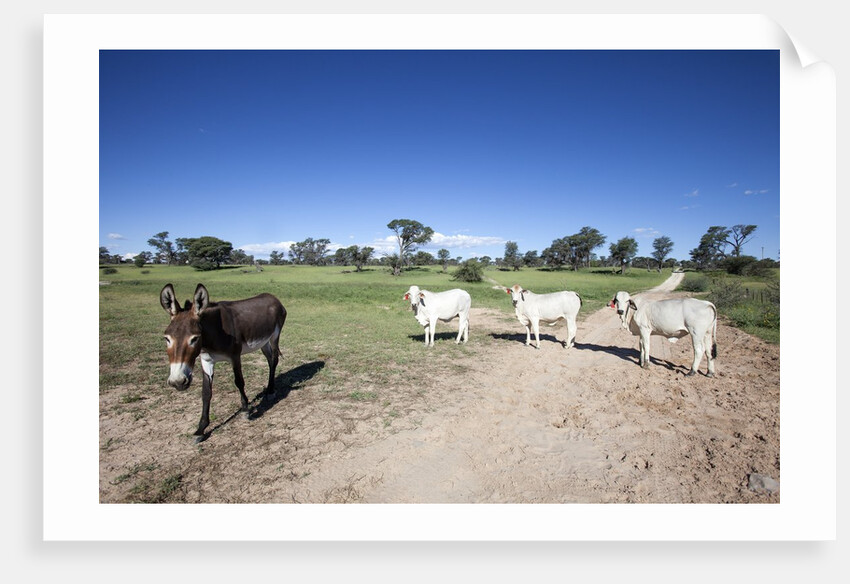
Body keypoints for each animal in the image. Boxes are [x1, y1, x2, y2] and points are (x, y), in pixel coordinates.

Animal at [160, 283, 286, 441]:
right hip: (263, 342)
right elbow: (206, 392)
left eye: (194, 338)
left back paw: (270, 391)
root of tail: (273, 297)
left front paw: (245, 410)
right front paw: (201, 429)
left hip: (274, 336)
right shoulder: (206, 361)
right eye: (167, 338)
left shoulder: (235, 356)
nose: (178, 382)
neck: (213, 334)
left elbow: (239, 382)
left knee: (274, 360)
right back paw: (269, 388)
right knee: (269, 360)